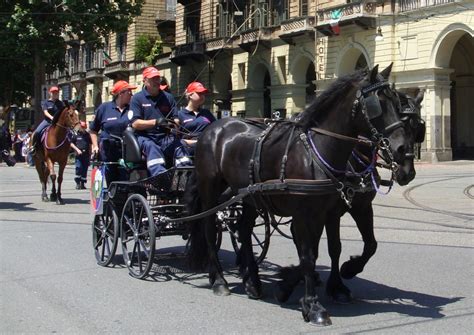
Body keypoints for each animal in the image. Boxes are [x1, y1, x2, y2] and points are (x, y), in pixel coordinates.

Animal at [274, 90, 426, 308]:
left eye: (418, 128)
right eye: (401, 120)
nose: (408, 173)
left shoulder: (361, 207)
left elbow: (370, 245)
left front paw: (348, 270)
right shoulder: (329, 212)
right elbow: (330, 248)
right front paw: (333, 283)